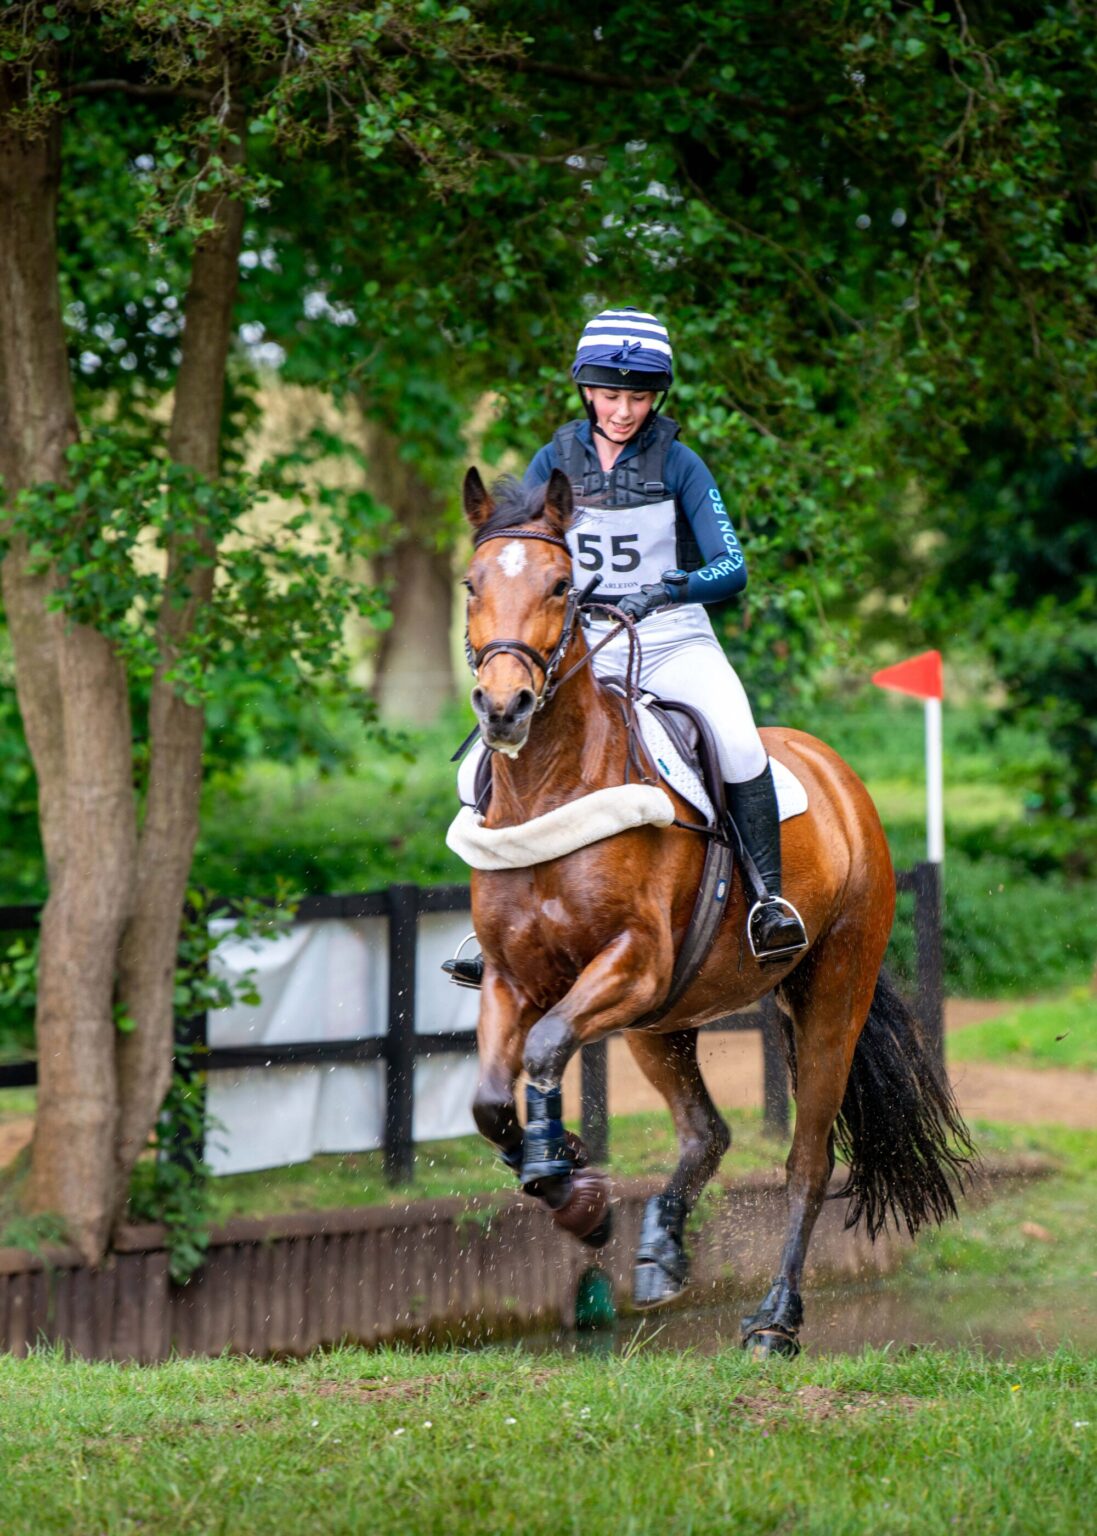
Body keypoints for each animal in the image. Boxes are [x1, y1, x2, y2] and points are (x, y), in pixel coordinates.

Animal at [459, 465, 973, 1356]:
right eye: (471, 584)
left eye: (561, 584)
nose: (504, 708)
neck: (550, 786)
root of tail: (839, 776)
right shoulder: (513, 977)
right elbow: (492, 1099)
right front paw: (576, 1194)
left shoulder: (630, 963)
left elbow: (549, 1047)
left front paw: (562, 1173)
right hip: (661, 1021)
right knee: (707, 1132)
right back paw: (660, 1250)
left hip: (825, 994)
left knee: (807, 1162)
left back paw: (774, 1320)